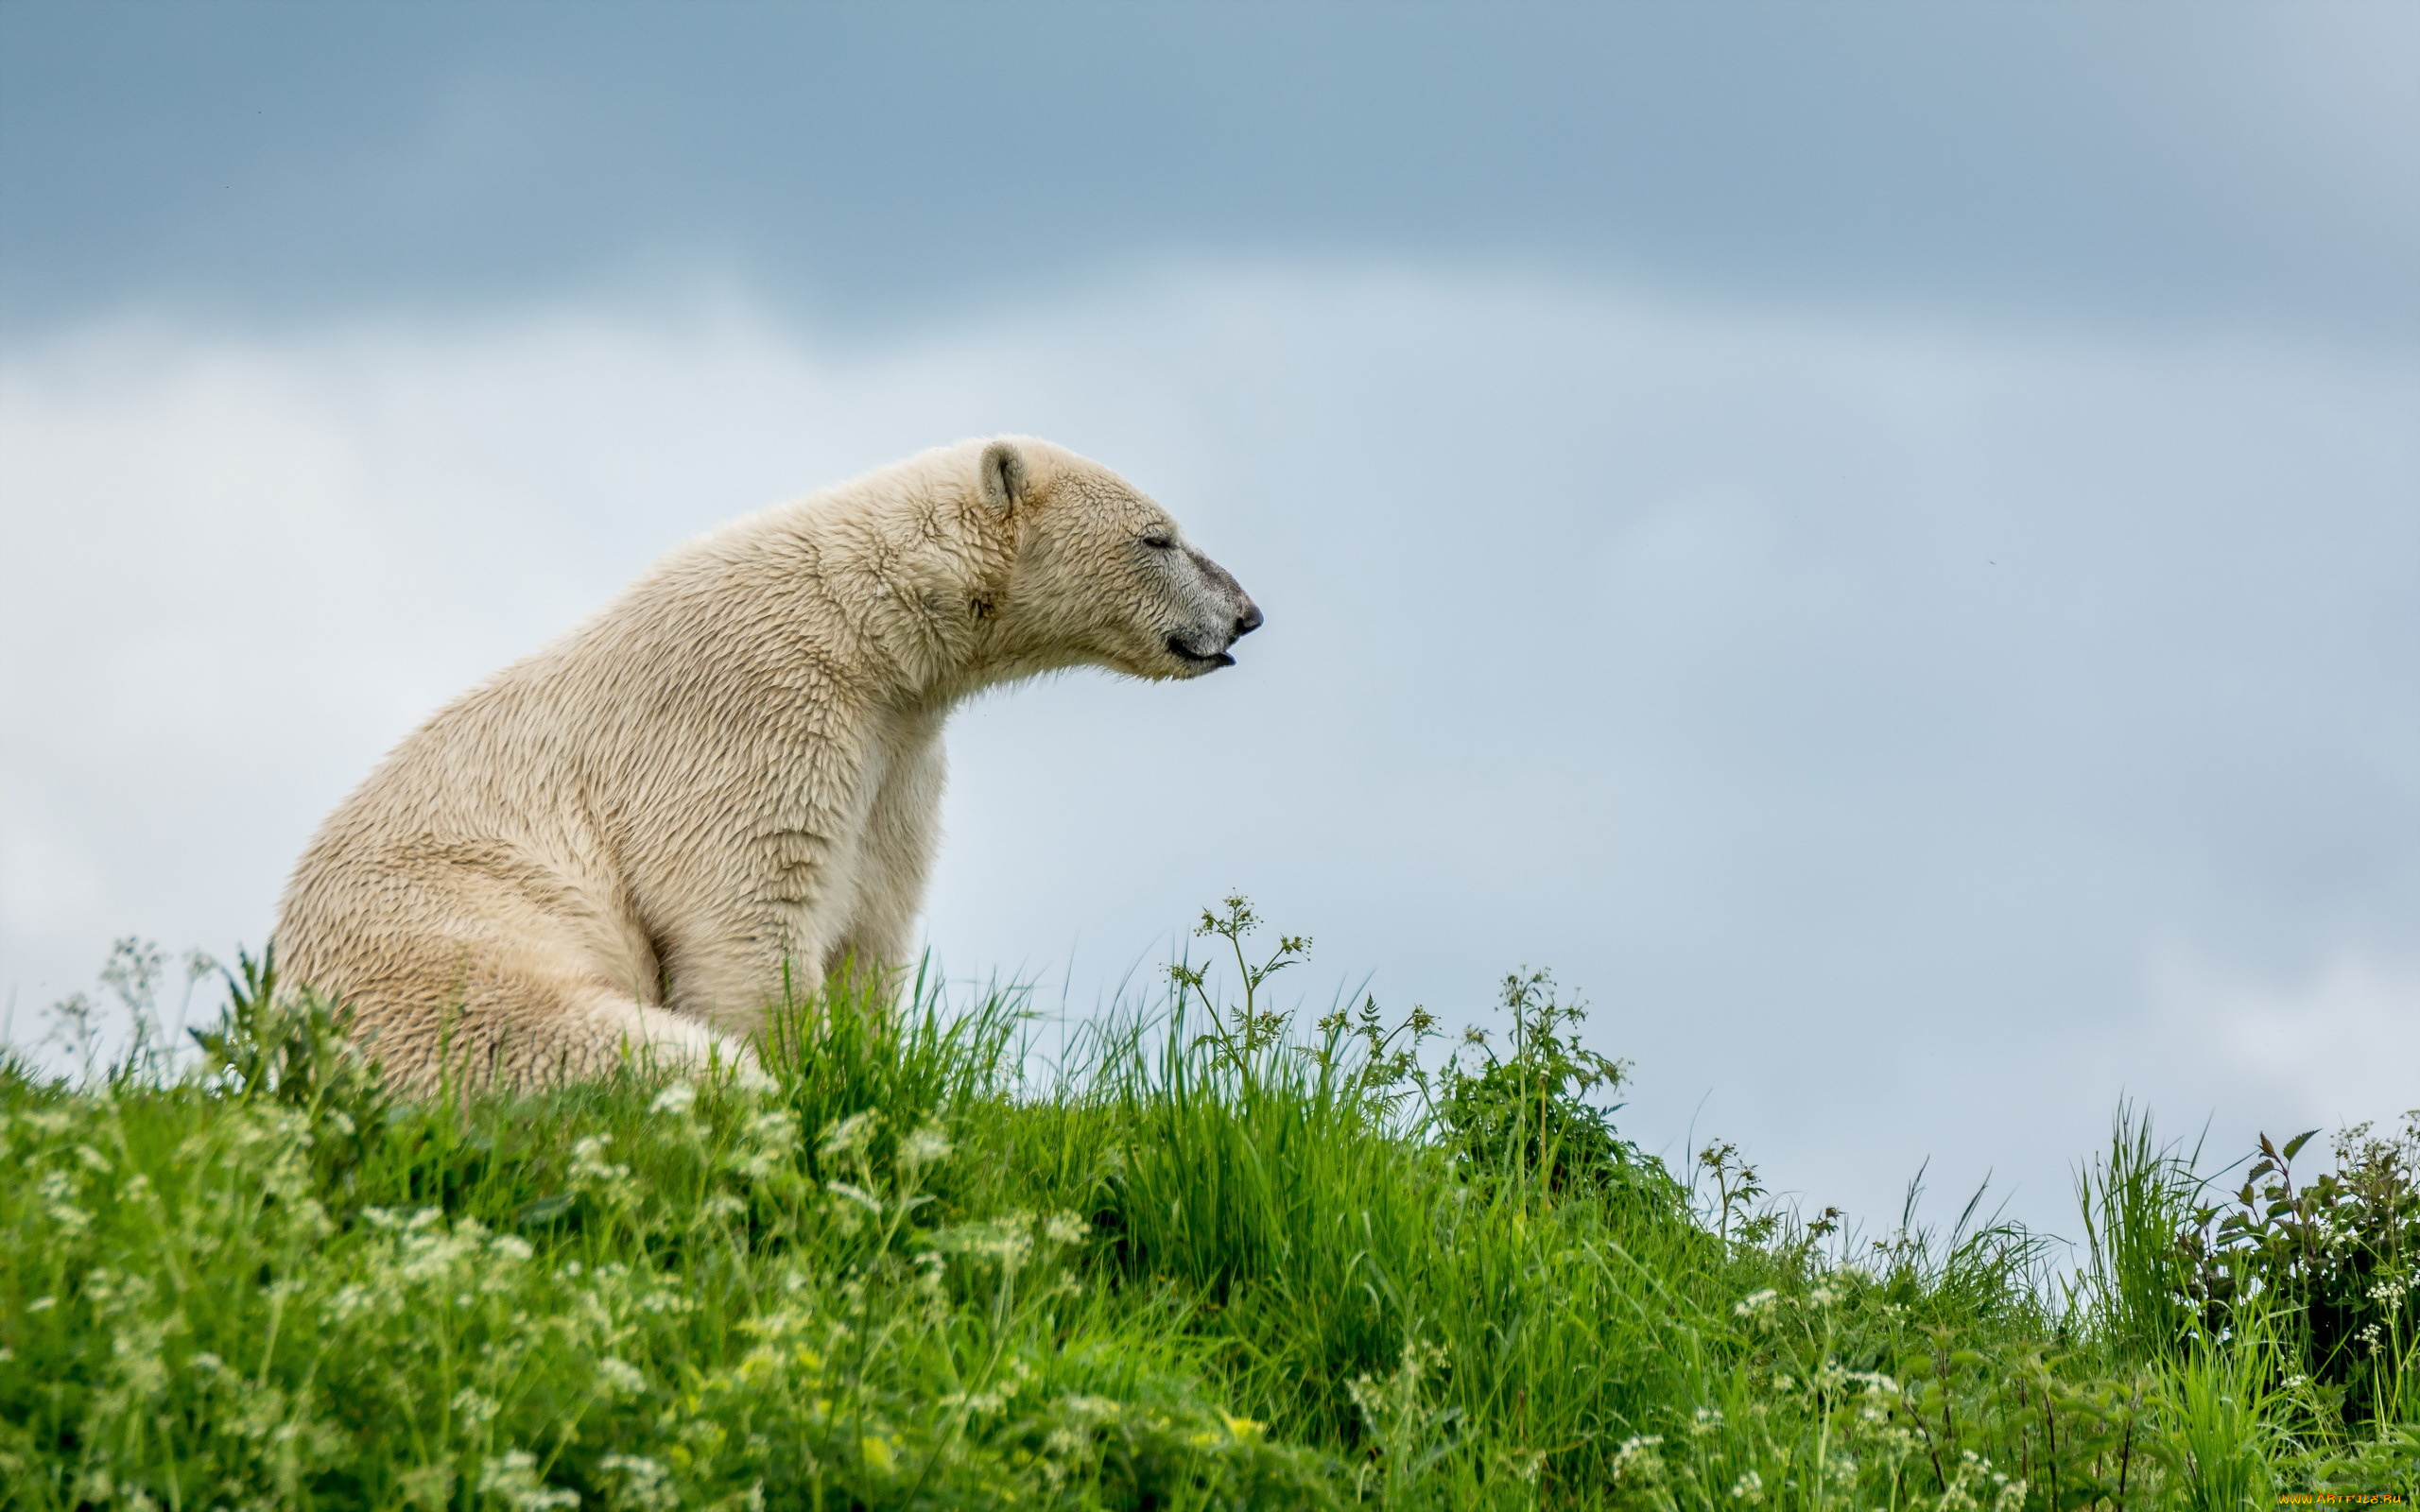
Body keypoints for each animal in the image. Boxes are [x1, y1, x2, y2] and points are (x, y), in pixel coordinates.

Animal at [274, 435, 1268, 1083]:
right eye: (1159, 537)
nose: (1247, 615)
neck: (868, 627)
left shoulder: (898, 754)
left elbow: (874, 915)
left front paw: (865, 1061)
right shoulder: (757, 710)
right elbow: (749, 911)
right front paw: (803, 1072)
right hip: (440, 962)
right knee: (581, 1041)